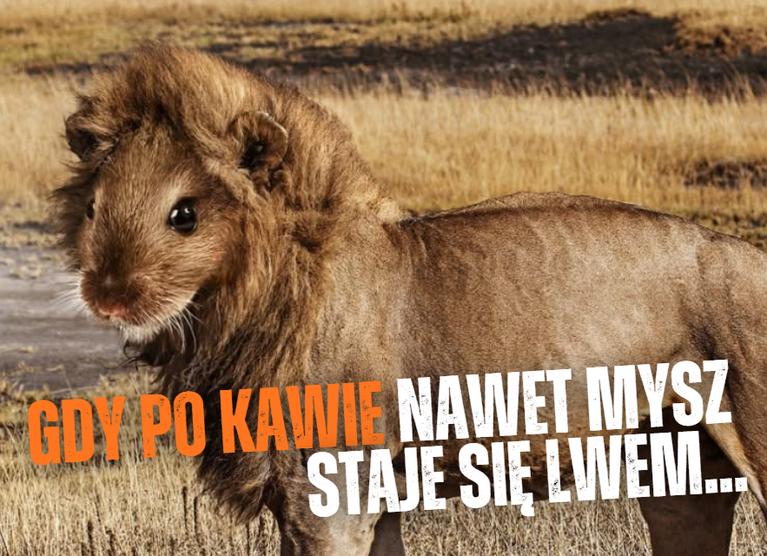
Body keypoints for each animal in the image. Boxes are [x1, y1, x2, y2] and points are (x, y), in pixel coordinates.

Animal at [53, 43, 767, 555]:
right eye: (93, 210)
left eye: (184, 215)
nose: (107, 296)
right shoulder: (358, 498)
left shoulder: (329, 496)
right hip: (682, 482)